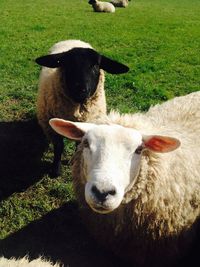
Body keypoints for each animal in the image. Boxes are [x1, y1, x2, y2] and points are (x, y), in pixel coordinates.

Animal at [35, 39, 129, 178]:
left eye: (96, 65)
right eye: (67, 64)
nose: (81, 89)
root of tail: (72, 40)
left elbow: (79, 144)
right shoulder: (51, 128)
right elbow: (59, 147)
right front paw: (56, 170)